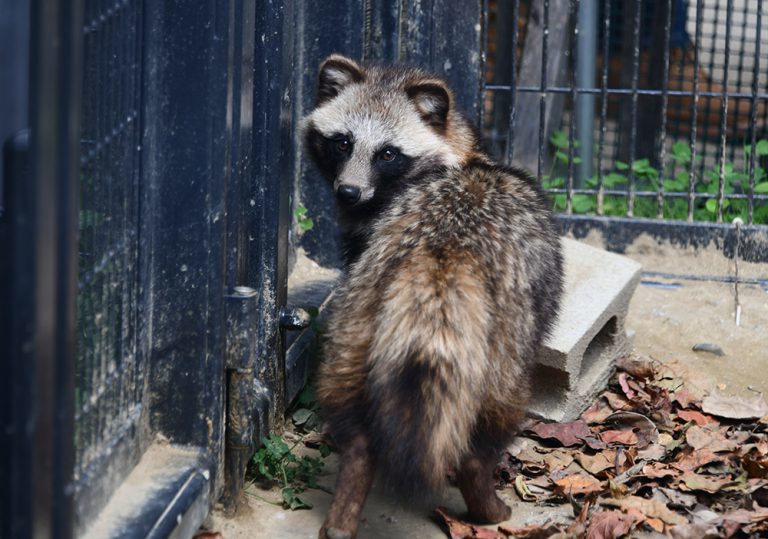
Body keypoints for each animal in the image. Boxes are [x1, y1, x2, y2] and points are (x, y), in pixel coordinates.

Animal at [304, 56, 560, 539]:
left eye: (388, 154)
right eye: (342, 143)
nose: (348, 192)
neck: (465, 157)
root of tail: (442, 252)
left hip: (356, 323)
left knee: (356, 432)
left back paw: (346, 501)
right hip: (506, 343)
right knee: (488, 430)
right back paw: (486, 500)